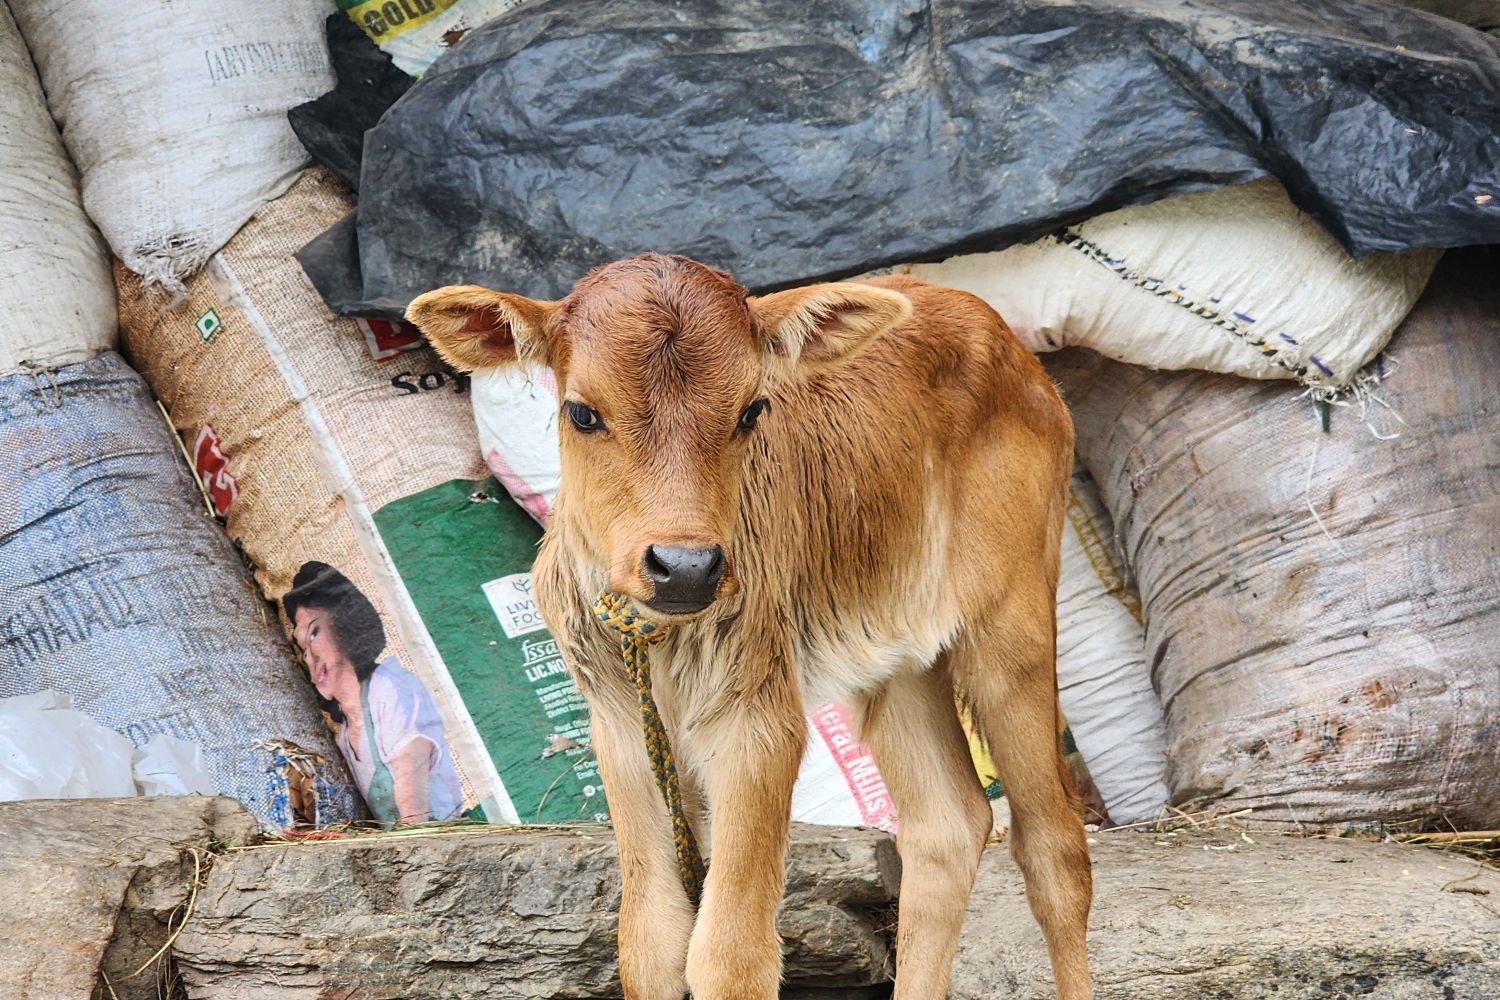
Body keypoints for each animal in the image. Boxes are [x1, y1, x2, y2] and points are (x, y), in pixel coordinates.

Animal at [407, 254, 1092, 1000]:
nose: (685, 568)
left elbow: (730, 955)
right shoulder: (619, 730)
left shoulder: (758, 722)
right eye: (582, 413)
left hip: (1014, 622)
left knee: (1055, 848)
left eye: (752, 410)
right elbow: (650, 941)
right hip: (898, 658)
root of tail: (999, 332)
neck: (660, 644)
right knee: (948, 827)